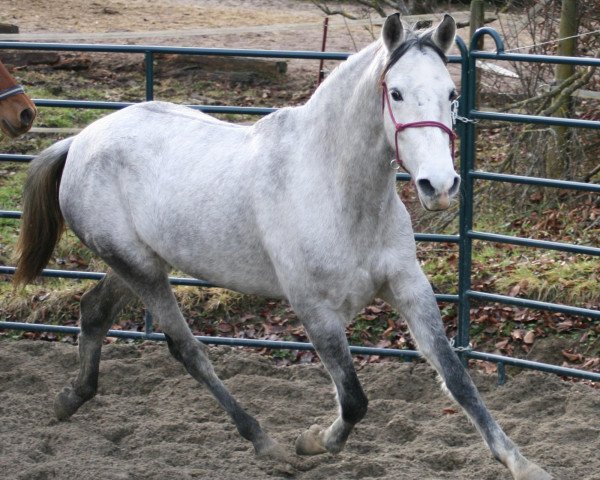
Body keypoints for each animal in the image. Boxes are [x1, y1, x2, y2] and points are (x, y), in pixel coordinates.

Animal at [12, 13, 548, 478]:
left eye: (452, 93)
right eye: (395, 93)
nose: (439, 185)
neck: (334, 190)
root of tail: (80, 141)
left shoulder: (408, 287)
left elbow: (457, 377)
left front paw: (524, 465)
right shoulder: (313, 307)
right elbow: (354, 399)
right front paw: (310, 442)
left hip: (137, 264)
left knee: (94, 312)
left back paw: (69, 399)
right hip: (140, 268)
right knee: (186, 348)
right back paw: (265, 443)